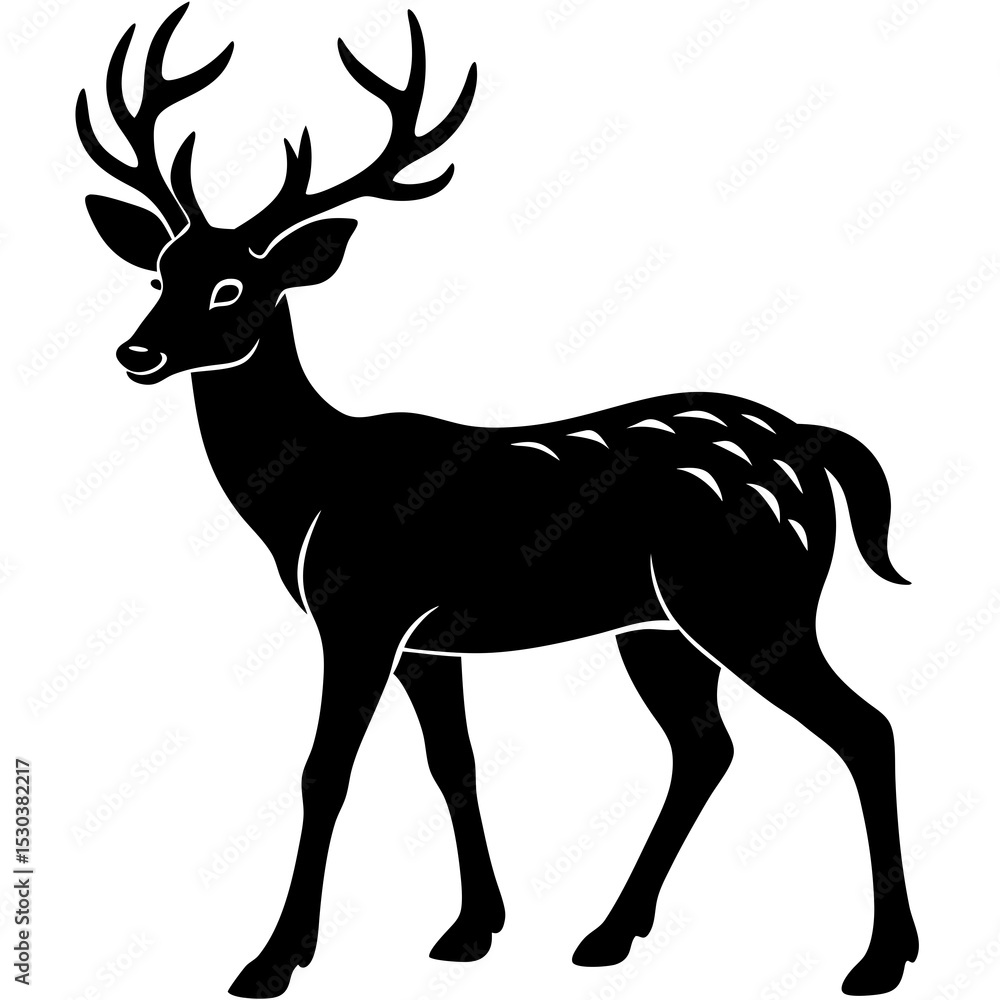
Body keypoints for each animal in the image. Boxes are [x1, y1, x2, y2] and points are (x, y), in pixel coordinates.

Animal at [77, 5, 918, 997]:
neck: (314, 492)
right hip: (660, 626)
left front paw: (272, 960)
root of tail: (814, 446)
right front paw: (471, 929)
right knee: (706, 747)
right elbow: (455, 765)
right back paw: (608, 934)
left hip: (751, 598)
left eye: (231, 286)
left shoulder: (363, 610)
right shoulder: (426, 641)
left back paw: (880, 959)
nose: (136, 353)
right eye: (158, 273)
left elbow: (325, 771)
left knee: (864, 727)